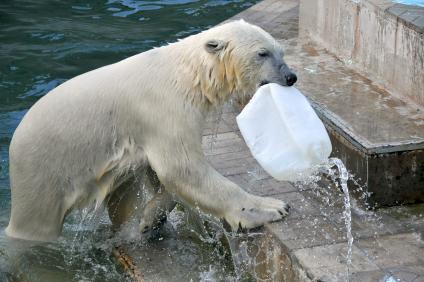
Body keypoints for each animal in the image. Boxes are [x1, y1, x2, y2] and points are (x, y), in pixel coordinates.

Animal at [6, 19, 298, 241]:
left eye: (281, 52)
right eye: (262, 53)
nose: (291, 77)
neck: (189, 75)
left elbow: (163, 175)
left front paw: (149, 220)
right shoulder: (164, 109)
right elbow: (181, 168)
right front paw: (272, 207)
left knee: (121, 189)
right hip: (43, 171)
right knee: (35, 224)